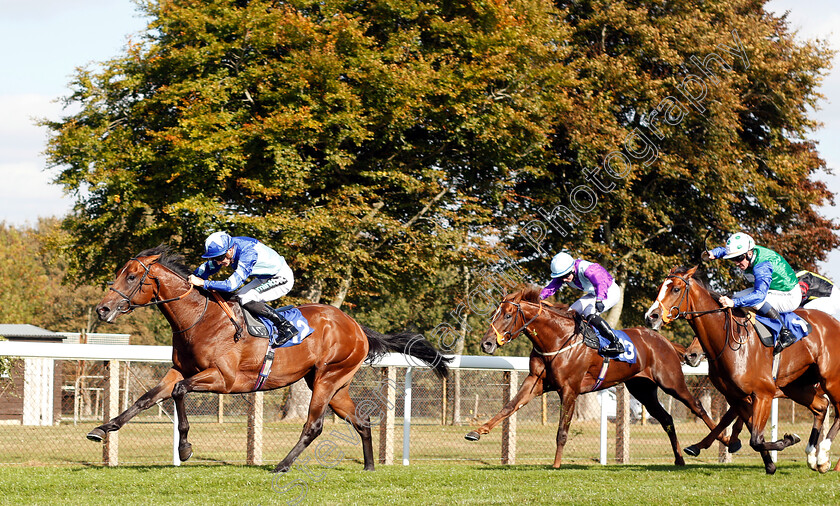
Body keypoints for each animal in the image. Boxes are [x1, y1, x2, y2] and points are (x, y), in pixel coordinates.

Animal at [90, 247, 452, 472]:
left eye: (132, 277)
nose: (102, 309)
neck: (200, 319)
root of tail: (357, 327)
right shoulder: (180, 370)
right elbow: (147, 398)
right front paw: (103, 428)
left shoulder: (224, 379)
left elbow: (179, 393)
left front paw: (185, 448)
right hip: (334, 385)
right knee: (361, 421)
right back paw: (369, 466)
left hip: (327, 379)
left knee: (314, 425)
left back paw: (283, 465)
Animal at [462, 284, 732, 466]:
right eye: (494, 315)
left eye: (508, 315)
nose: (487, 343)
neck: (557, 339)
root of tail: (663, 340)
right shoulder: (535, 382)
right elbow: (509, 406)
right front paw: (477, 431)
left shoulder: (569, 389)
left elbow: (562, 431)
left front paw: (556, 465)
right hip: (642, 389)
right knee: (666, 418)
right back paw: (679, 459)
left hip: (671, 382)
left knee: (697, 405)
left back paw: (723, 441)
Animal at [644, 264, 840, 474]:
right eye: (660, 287)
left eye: (675, 289)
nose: (651, 317)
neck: (729, 342)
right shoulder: (736, 395)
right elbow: (749, 430)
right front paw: (770, 462)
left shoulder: (763, 393)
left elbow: (754, 437)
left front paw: (784, 442)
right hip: (796, 387)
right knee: (822, 406)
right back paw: (813, 456)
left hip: (830, 380)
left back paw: (823, 457)